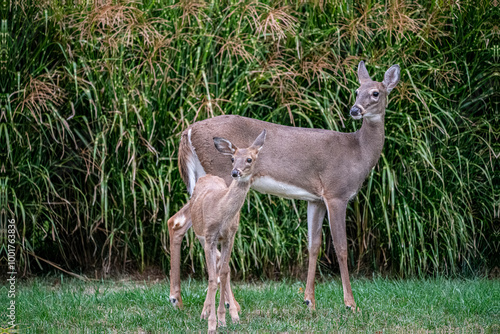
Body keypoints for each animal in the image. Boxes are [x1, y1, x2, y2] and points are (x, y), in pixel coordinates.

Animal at [167, 62, 398, 310]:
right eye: (356, 91)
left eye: (375, 93)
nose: (355, 110)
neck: (358, 151)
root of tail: (188, 132)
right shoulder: (336, 192)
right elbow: (341, 247)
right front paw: (350, 304)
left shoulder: (316, 199)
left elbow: (313, 245)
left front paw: (309, 301)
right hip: (224, 175)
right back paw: (231, 304)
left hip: (204, 180)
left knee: (177, 221)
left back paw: (177, 299)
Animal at [189, 131, 266, 334]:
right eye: (232, 158)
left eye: (249, 159)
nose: (235, 172)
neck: (221, 211)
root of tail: (206, 176)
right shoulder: (209, 236)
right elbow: (211, 278)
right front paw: (211, 324)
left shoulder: (230, 237)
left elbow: (223, 273)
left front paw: (224, 319)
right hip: (199, 235)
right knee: (212, 273)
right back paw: (205, 312)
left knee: (222, 270)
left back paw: (229, 313)